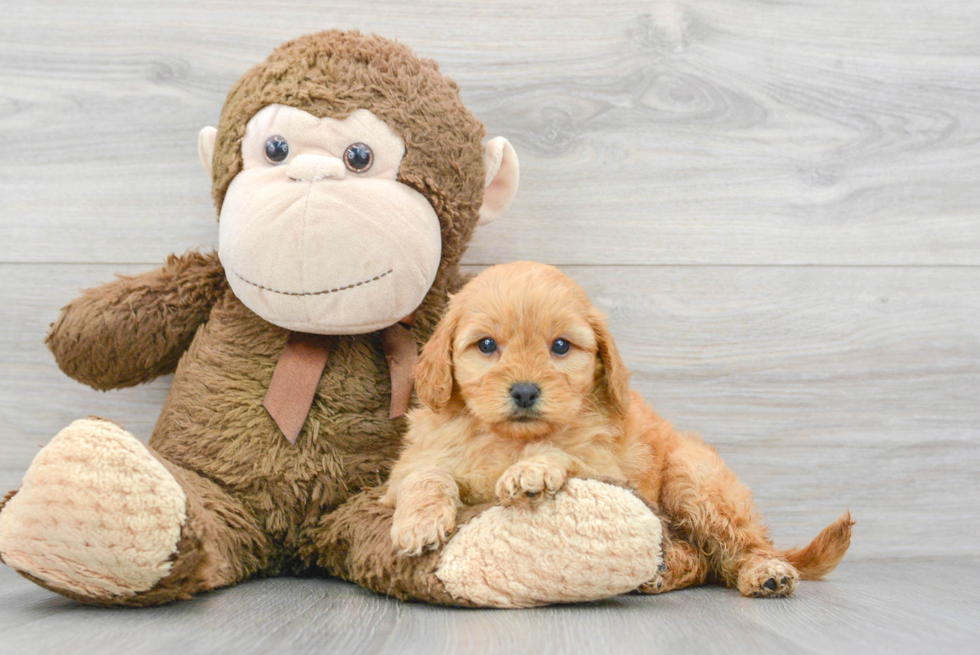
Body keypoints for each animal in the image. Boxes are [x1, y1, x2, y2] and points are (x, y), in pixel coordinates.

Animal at [382, 262, 848, 600]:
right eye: (486, 346)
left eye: (561, 346)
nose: (525, 391)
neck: (510, 439)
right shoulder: (411, 464)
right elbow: (427, 476)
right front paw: (420, 523)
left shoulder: (605, 467)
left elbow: (563, 453)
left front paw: (532, 471)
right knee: (699, 560)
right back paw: (661, 574)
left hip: (696, 480)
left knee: (739, 546)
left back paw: (766, 572)